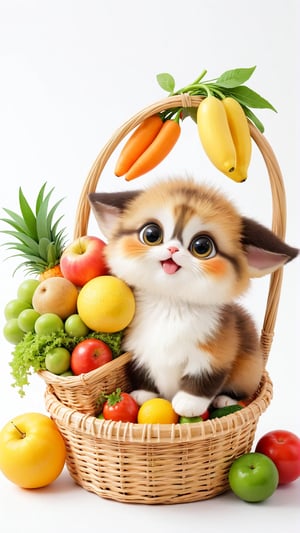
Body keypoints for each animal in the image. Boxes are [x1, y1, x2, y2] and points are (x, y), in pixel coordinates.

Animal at [89, 179, 298, 416]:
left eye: (202, 247)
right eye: (151, 234)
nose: (172, 249)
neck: (171, 302)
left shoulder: (215, 353)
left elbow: (204, 376)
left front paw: (188, 403)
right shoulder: (138, 348)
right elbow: (142, 370)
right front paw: (144, 394)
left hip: (250, 368)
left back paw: (225, 400)